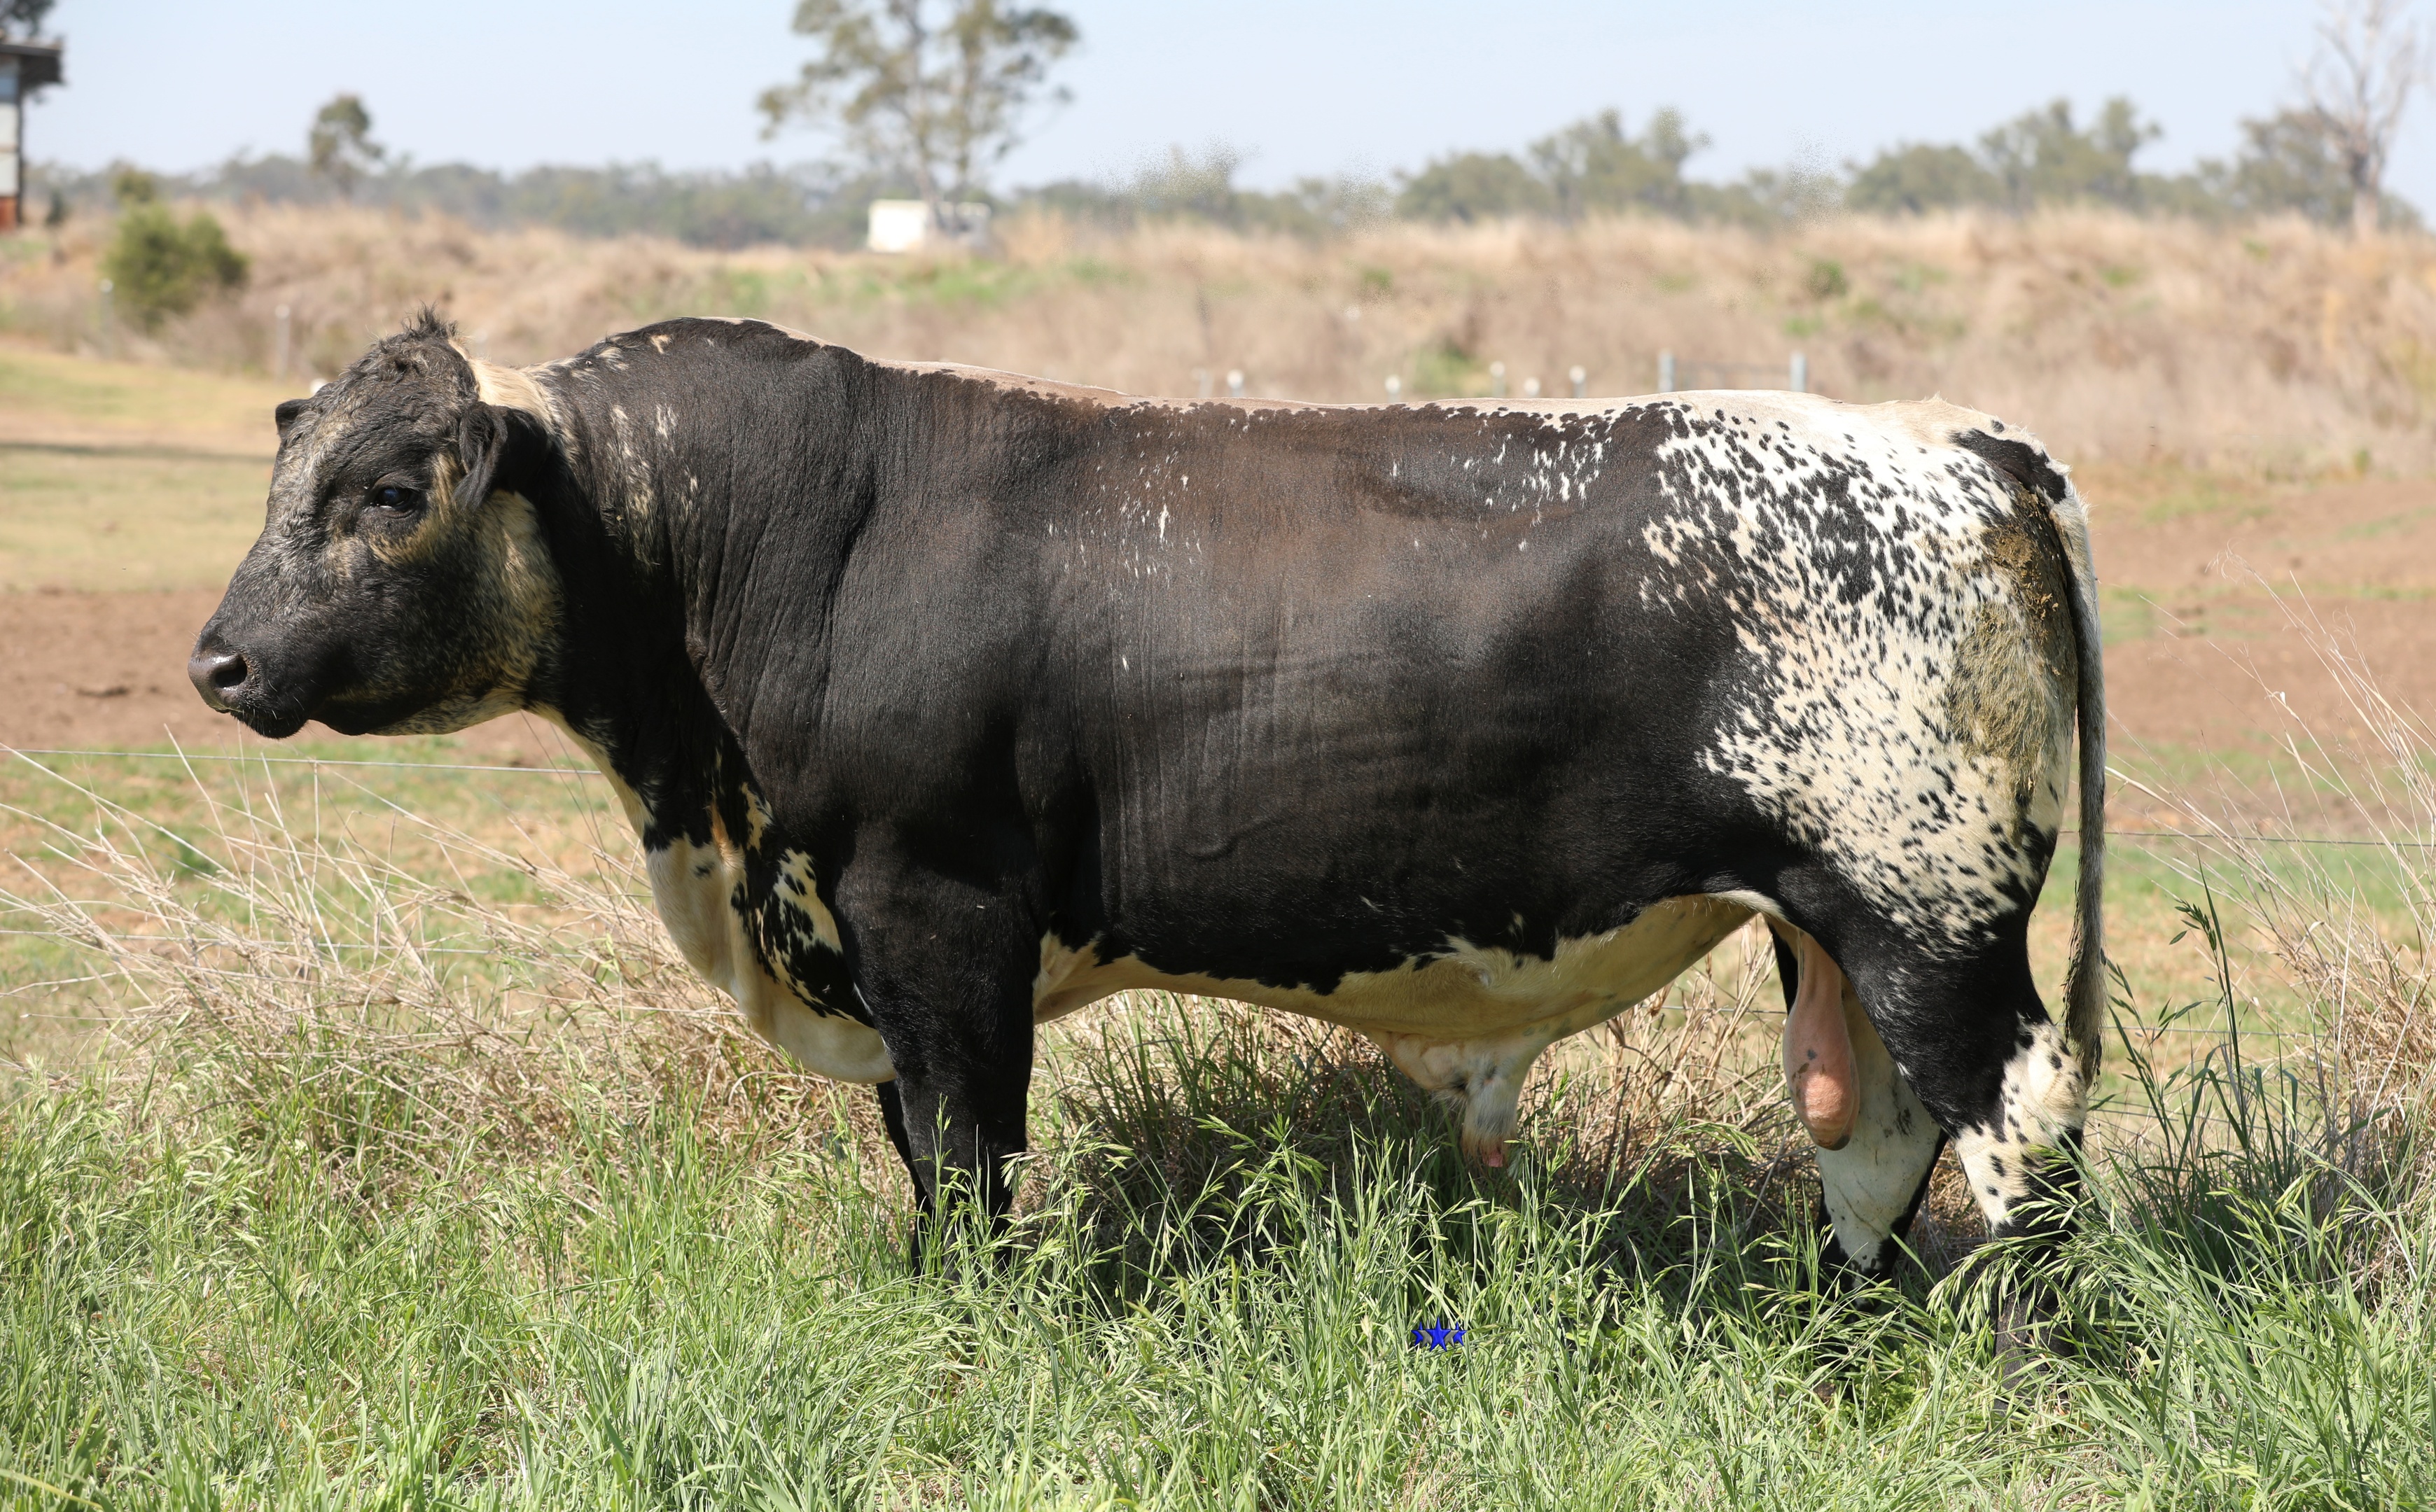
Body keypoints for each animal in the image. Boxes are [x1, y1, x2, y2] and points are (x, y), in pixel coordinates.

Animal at [190, 312, 2104, 1350]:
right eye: (285, 480)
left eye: (391, 492)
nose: (219, 660)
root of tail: (1953, 440)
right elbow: (921, 1144)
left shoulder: (934, 907)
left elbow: (964, 1150)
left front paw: (964, 1320)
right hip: (1836, 923)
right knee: (1875, 1140)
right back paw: (1841, 1337)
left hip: (1927, 913)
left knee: (2017, 1125)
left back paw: (2019, 1354)